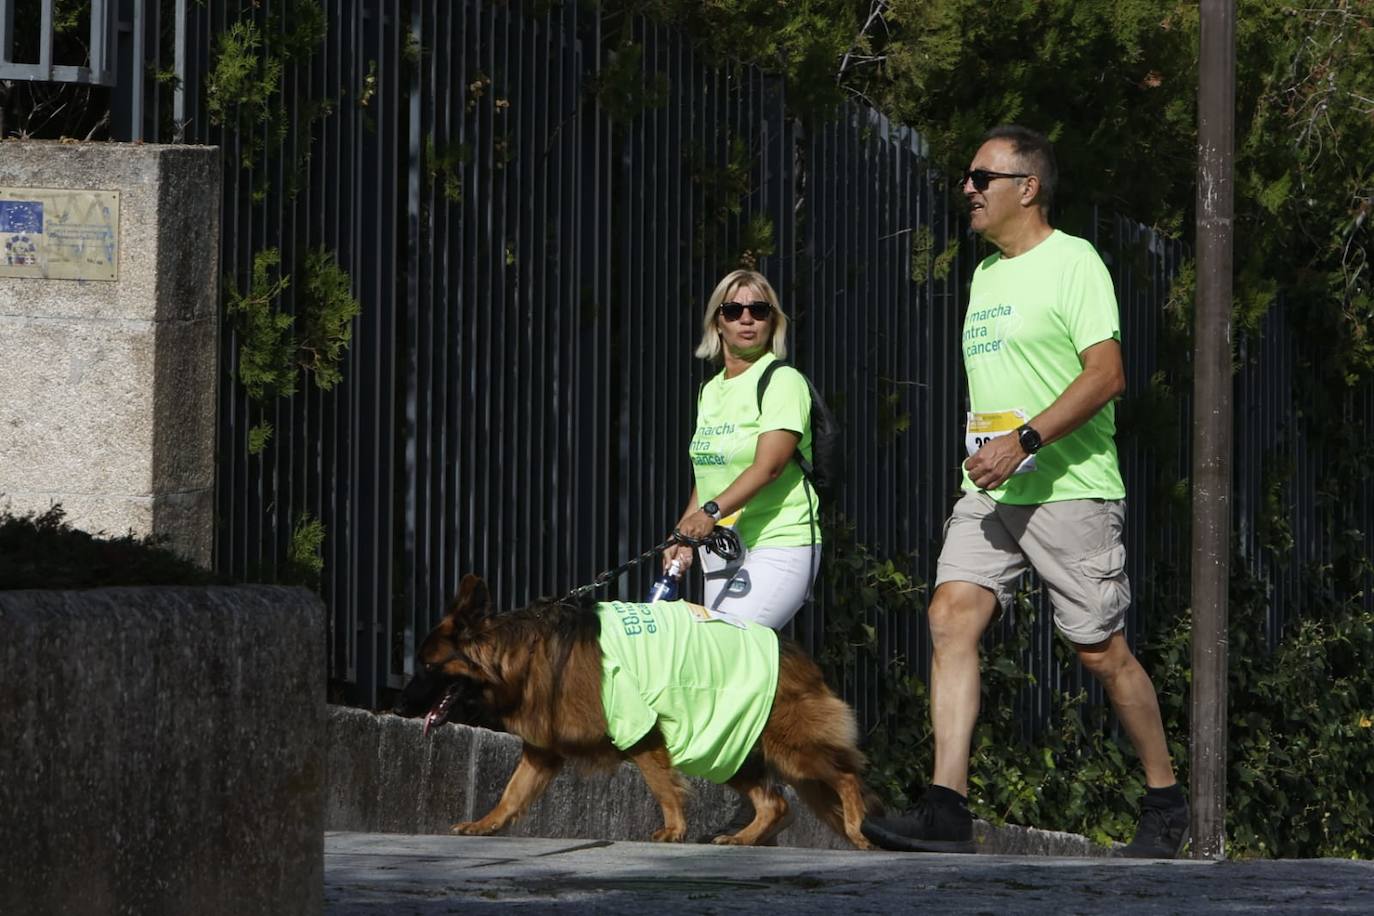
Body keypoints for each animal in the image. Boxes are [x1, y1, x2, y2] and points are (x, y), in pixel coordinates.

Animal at [395, 576, 879, 851]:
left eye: (428, 667)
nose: (398, 704)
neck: (521, 654)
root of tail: (799, 655)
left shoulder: (640, 731)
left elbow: (662, 785)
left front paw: (674, 830)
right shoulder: (542, 751)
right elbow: (511, 794)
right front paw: (485, 825)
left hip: (789, 748)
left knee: (846, 776)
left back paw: (857, 827)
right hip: (728, 746)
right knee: (776, 802)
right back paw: (743, 838)